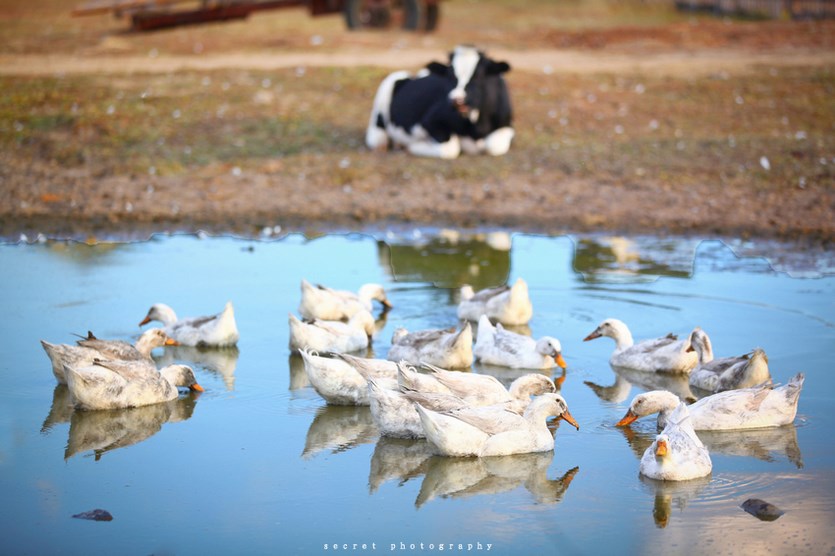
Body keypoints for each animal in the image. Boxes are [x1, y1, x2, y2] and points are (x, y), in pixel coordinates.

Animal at [368, 44, 516, 160]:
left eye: (478, 75)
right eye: (449, 75)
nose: (456, 100)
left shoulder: (507, 125)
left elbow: (494, 146)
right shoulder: (430, 121)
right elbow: (450, 148)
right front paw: (415, 146)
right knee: (378, 139)